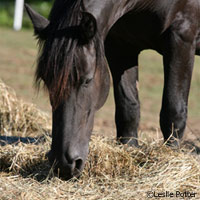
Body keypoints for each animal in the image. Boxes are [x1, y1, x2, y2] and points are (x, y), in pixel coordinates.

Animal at [25, 0, 199, 179]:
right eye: (46, 80)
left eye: (87, 80)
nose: (63, 164)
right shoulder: (121, 46)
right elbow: (128, 107)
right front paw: (128, 149)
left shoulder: (181, 38)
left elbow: (173, 111)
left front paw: (171, 156)